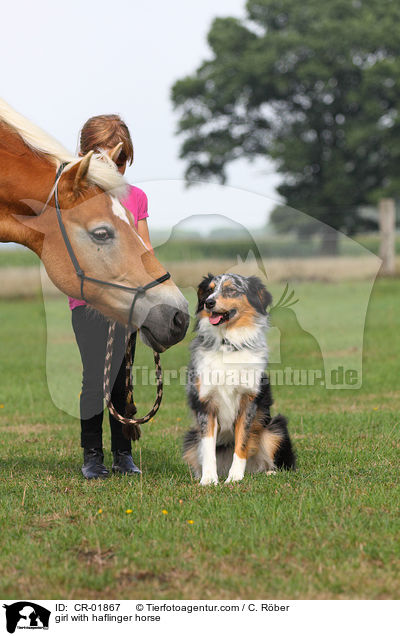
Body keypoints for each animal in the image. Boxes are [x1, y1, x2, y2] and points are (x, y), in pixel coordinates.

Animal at [183, 270, 296, 484]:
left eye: (231, 290)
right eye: (209, 291)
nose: (209, 303)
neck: (227, 343)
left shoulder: (248, 402)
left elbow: (242, 441)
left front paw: (234, 477)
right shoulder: (206, 403)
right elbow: (208, 447)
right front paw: (209, 480)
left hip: (275, 428)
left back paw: (268, 472)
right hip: (190, 438)